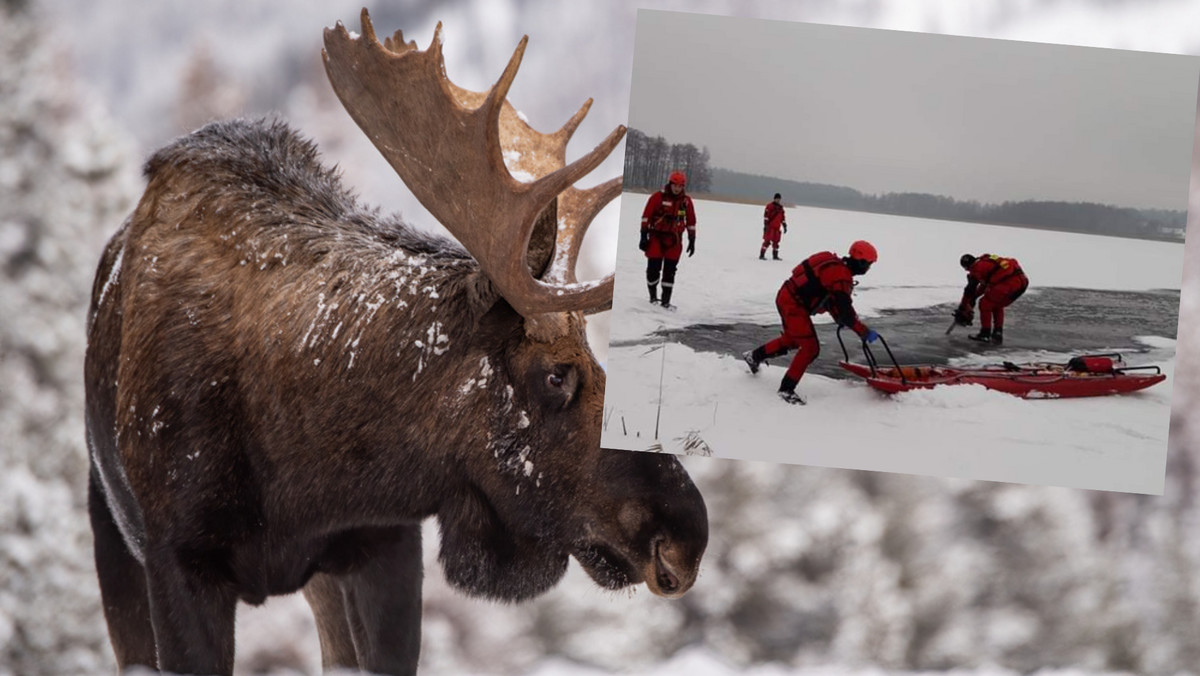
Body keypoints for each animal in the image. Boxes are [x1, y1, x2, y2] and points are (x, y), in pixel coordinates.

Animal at [84, 9, 705, 672]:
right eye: (557, 373)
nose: (687, 536)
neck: (300, 477)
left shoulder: (386, 544)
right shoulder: (178, 561)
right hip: (110, 531)